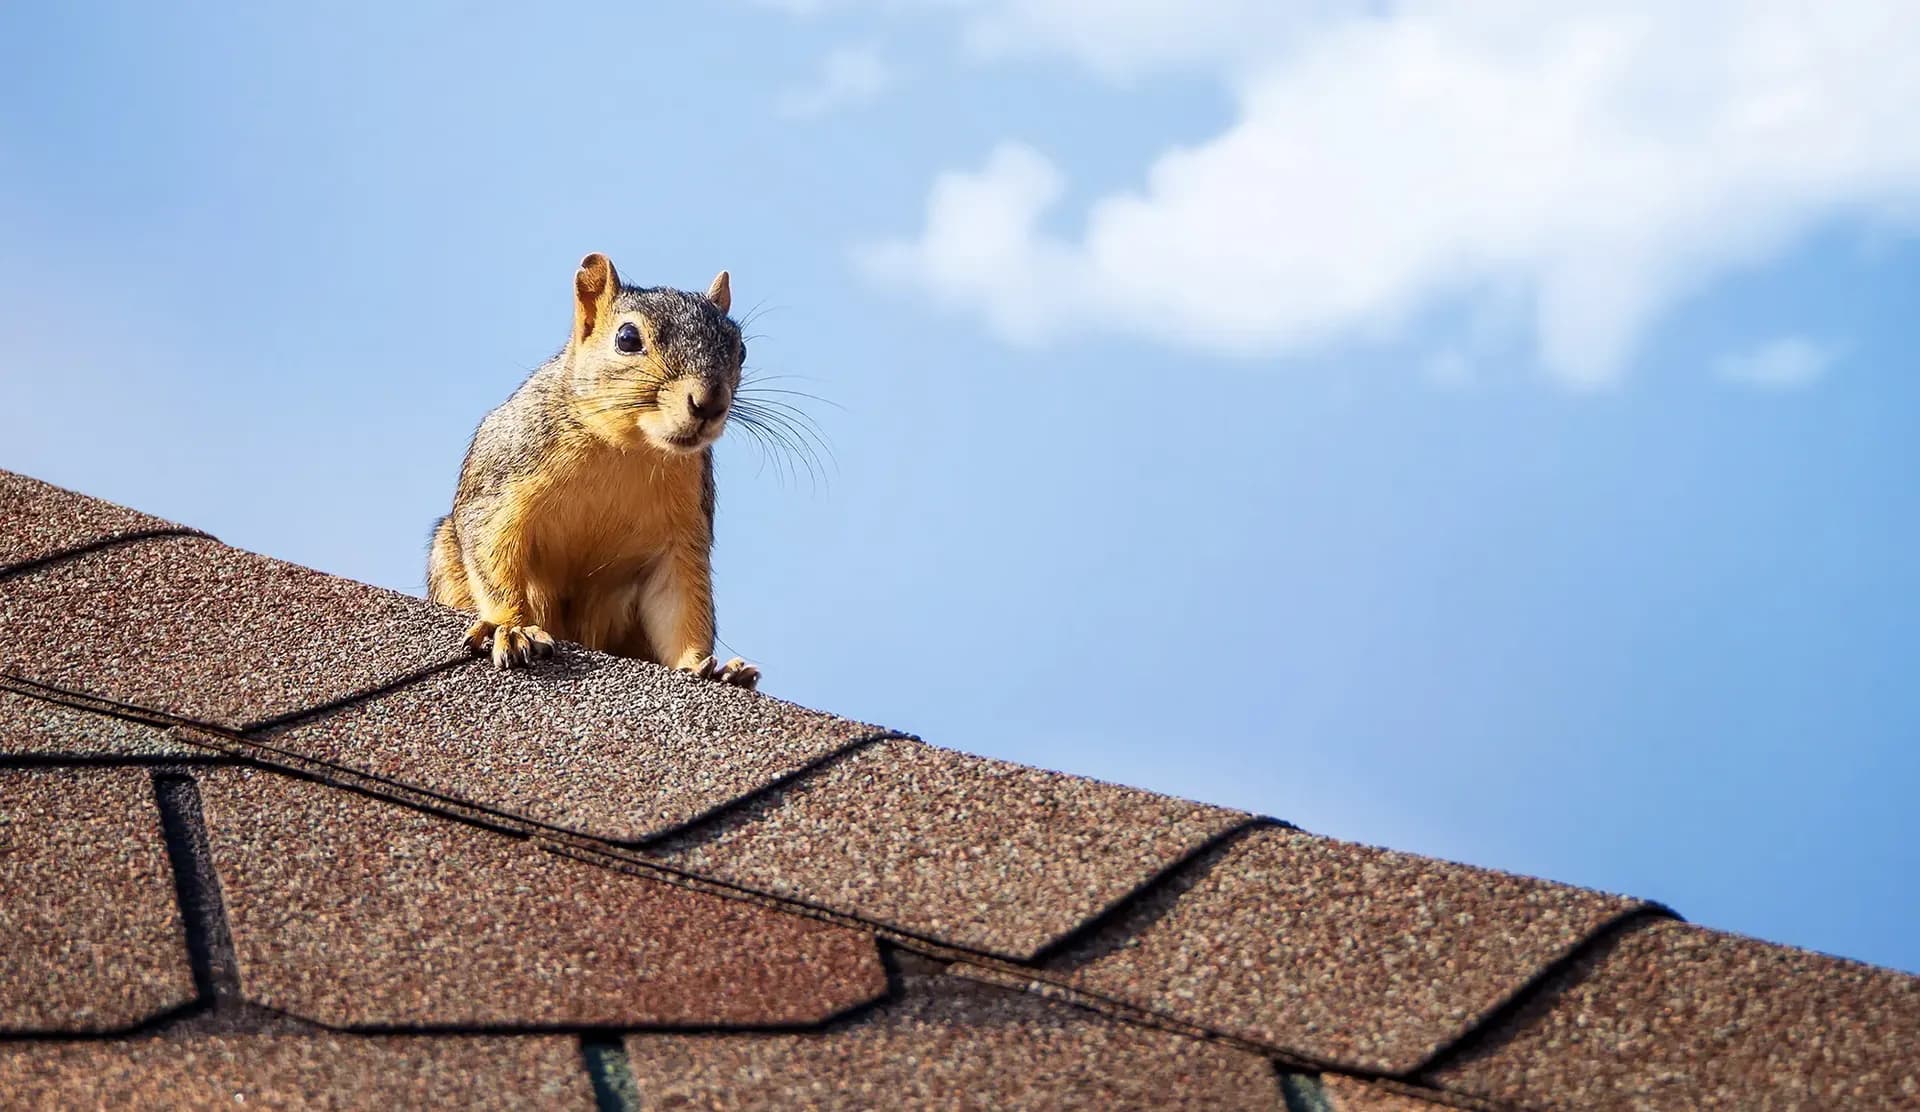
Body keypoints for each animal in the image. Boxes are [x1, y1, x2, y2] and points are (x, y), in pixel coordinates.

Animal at [426, 252, 759, 688]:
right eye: (627, 338)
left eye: (741, 350)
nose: (710, 404)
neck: (626, 448)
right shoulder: (503, 485)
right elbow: (494, 553)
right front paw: (511, 627)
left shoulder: (681, 535)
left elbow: (680, 604)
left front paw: (703, 665)